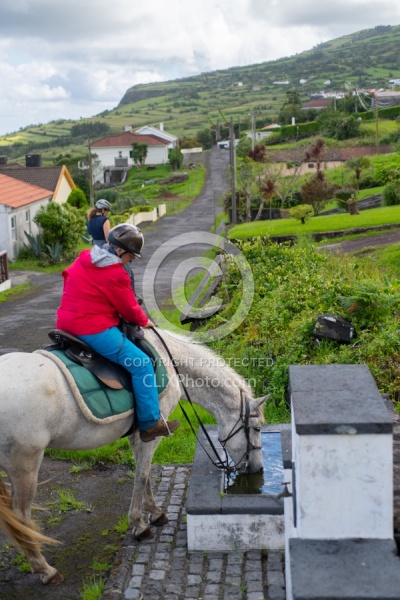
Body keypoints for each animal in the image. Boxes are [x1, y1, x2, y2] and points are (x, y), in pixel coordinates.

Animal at [0, 328, 268, 584]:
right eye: (257, 429)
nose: (257, 470)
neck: (171, 363)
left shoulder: (137, 433)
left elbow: (144, 472)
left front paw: (155, 513)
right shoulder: (154, 432)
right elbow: (141, 474)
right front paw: (139, 524)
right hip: (25, 465)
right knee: (21, 517)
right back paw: (45, 570)